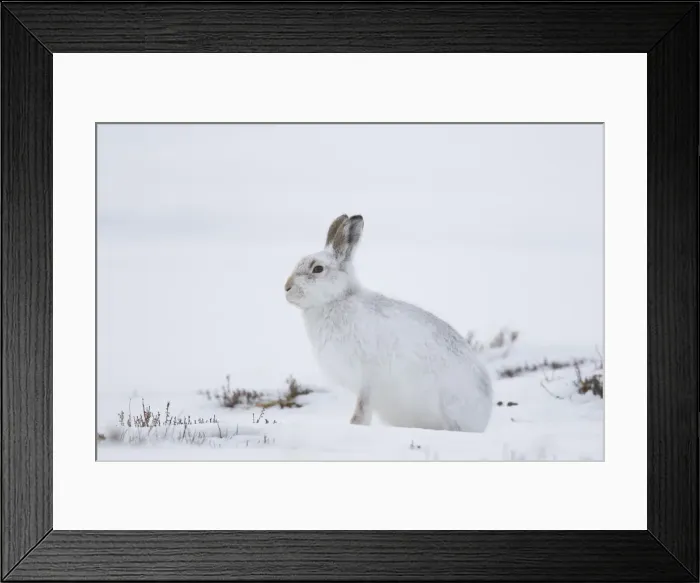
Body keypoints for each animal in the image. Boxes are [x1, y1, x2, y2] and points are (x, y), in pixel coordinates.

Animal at [284, 214, 493, 432]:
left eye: (317, 269)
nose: (286, 288)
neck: (337, 300)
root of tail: (483, 417)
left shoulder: (368, 380)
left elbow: (362, 409)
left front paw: (355, 425)